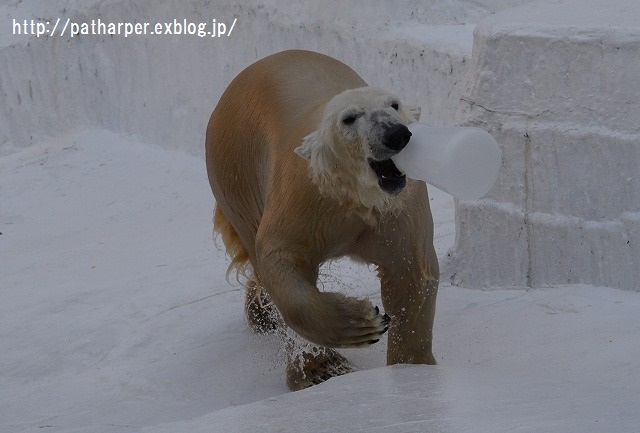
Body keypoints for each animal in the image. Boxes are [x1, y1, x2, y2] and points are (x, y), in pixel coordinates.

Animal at [208, 49, 438, 390]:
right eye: (349, 118)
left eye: (394, 104)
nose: (395, 134)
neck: (355, 197)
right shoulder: (305, 199)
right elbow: (283, 260)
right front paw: (360, 326)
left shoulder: (398, 209)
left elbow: (409, 272)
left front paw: (413, 367)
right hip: (238, 170)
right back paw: (312, 361)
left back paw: (259, 313)